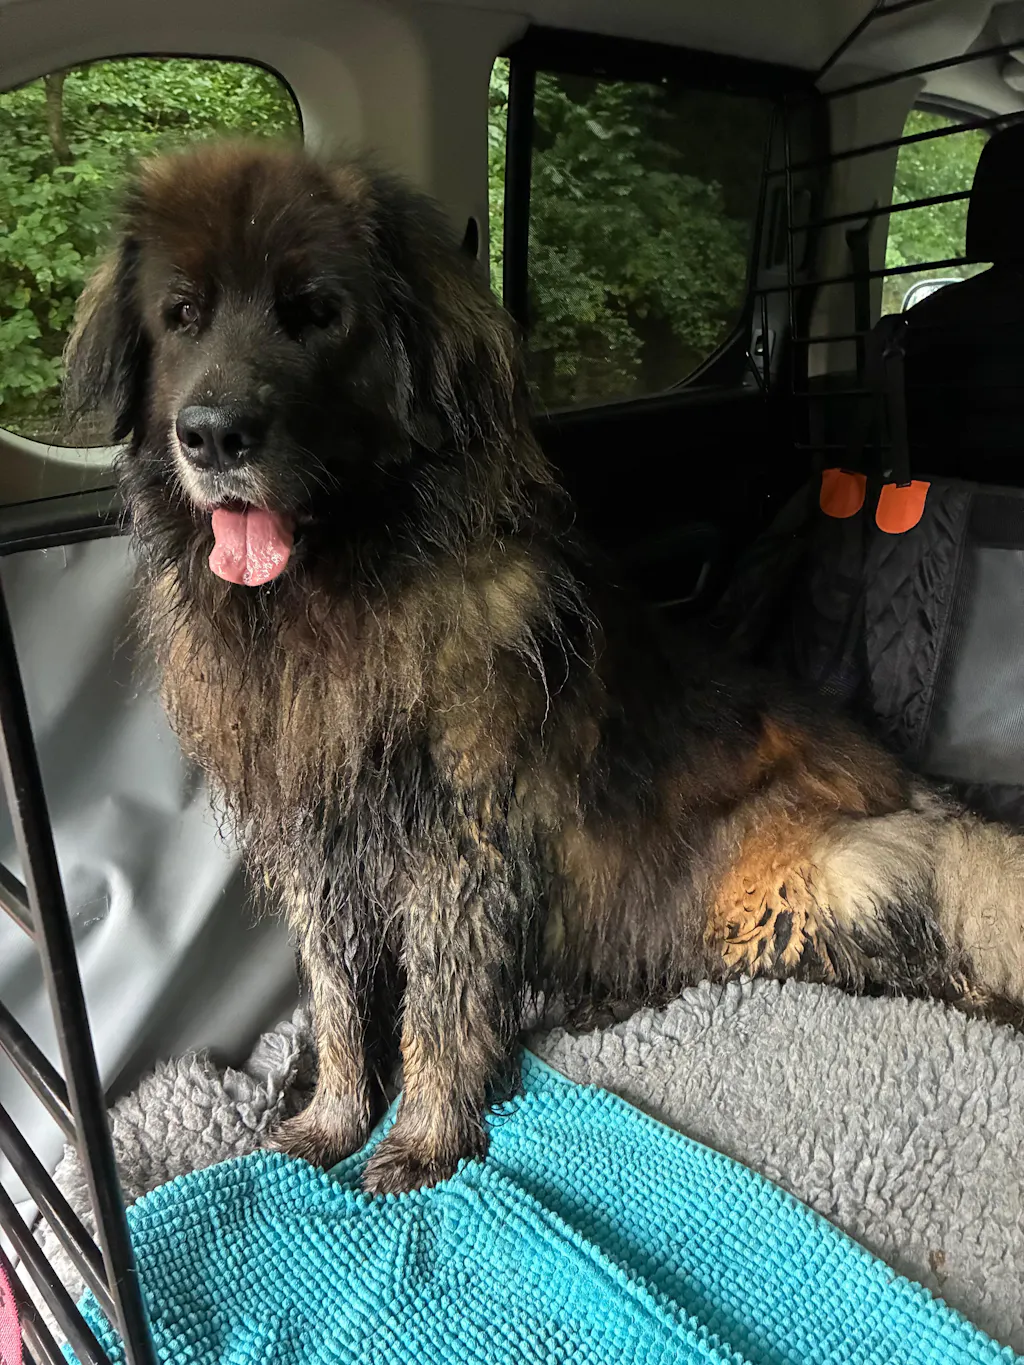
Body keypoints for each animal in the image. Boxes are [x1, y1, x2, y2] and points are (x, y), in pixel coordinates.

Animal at [65, 140, 1024, 1195]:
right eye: (181, 314)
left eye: (317, 314)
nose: (213, 434)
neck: (340, 598)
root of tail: (917, 792)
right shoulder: (320, 847)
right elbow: (340, 994)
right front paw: (331, 1117)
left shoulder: (456, 850)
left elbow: (438, 1007)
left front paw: (425, 1138)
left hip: (817, 886)